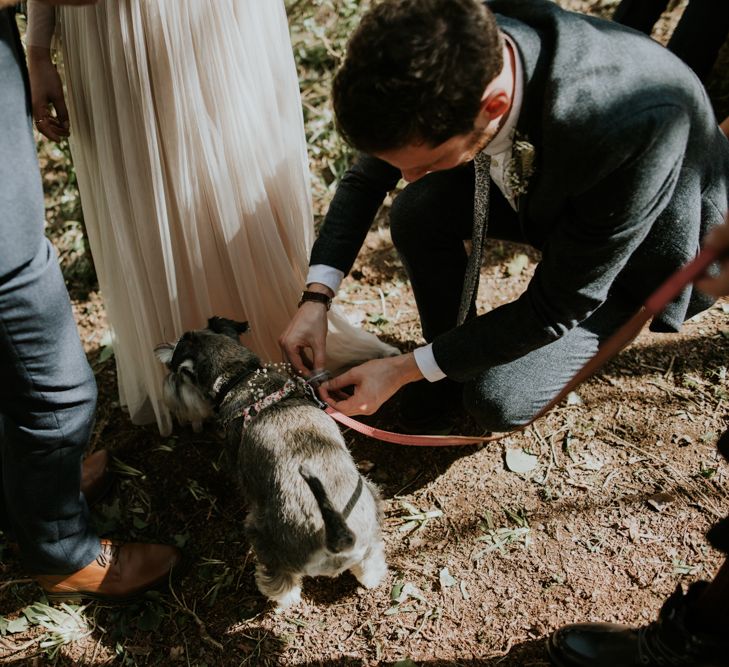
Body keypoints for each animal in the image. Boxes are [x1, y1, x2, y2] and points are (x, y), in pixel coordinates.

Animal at [154, 318, 386, 612]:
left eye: (174, 367)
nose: (165, 385)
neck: (240, 377)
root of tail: (335, 537)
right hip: (370, 505)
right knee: (371, 560)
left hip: (261, 533)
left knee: (280, 577)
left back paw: (279, 597)